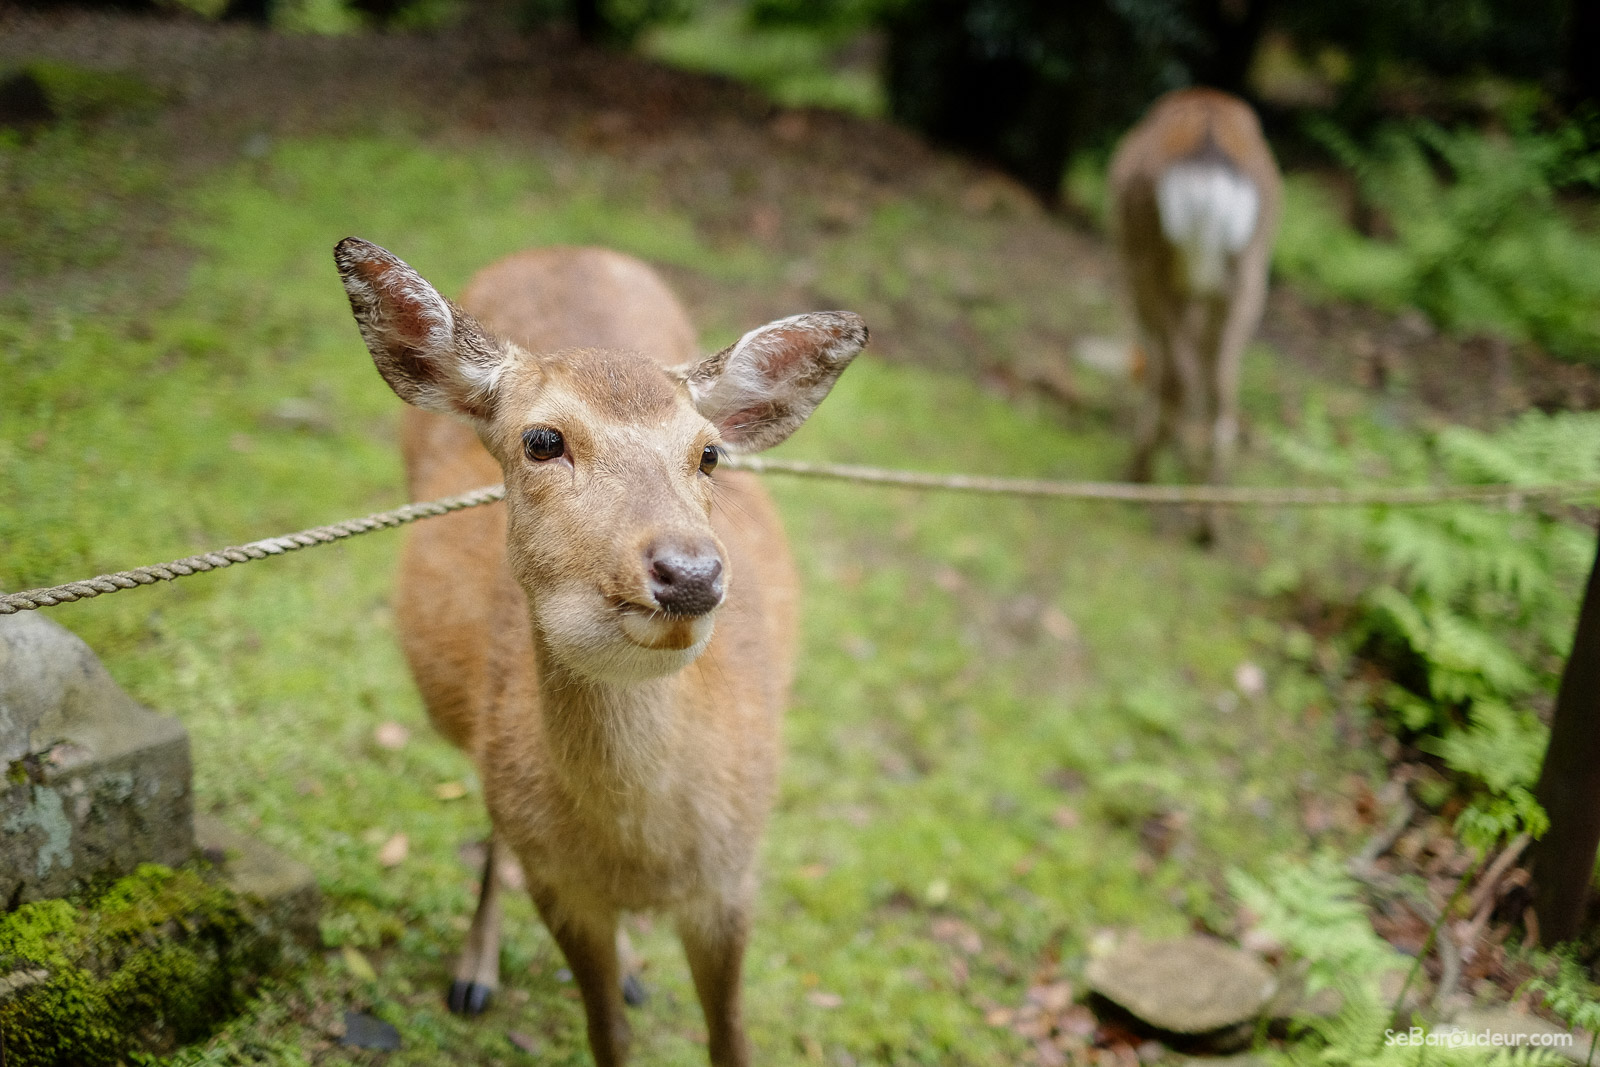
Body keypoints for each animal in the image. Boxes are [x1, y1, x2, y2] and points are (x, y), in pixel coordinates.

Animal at [329, 235, 870, 1067]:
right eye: (542, 439)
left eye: (710, 453)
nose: (689, 572)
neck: (643, 848)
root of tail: (564, 245)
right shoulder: (560, 882)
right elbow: (605, 1032)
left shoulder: (735, 875)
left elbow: (730, 1033)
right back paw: (475, 974)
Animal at [1113, 88, 1286, 489]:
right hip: (1249, 275)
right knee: (1223, 384)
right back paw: (1209, 496)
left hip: (1145, 260)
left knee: (1178, 373)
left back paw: (1139, 472)